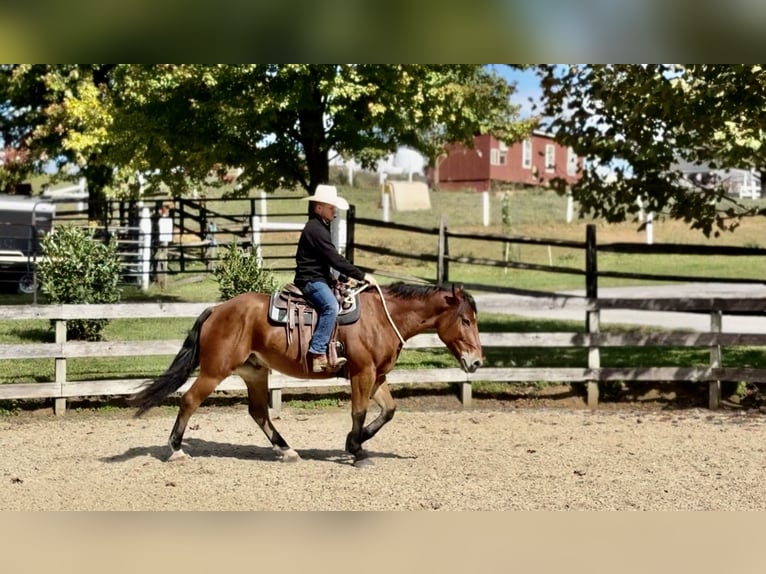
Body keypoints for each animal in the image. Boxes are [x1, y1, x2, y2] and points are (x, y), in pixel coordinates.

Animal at [128, 282, 484, 467]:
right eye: (465, 320)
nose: (477, 362)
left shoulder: (377, 377)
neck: (382, 317)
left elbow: (389, 411)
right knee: (189, 400)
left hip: (254, 372)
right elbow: (359, 411)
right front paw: (356, 450)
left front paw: (356, 442)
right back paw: (175, 449)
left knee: (258, 411)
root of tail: (217, 309)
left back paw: (286, 450)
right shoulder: (362, 373)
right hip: (215, 371)